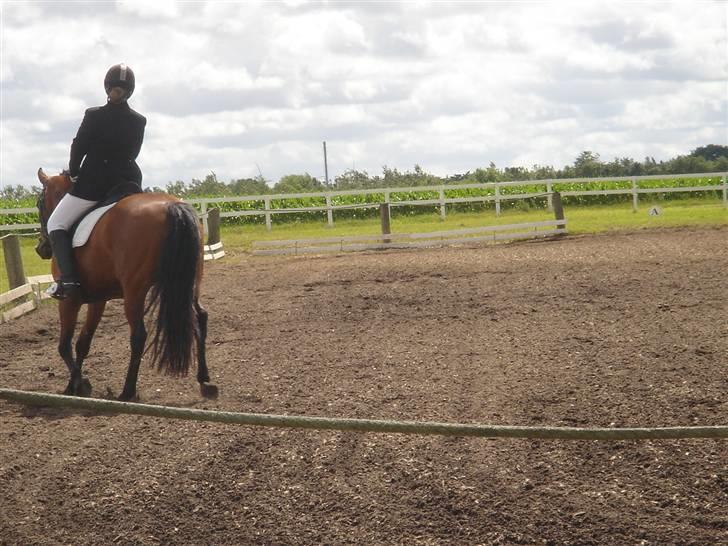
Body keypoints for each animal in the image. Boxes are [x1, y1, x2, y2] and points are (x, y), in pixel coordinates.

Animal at [36, 168, 218, 402]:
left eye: (39, 203)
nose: (41, 248)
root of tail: (172, 206)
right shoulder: (98, 300)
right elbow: (83, 343)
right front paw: (75, 384)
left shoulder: (69, 301)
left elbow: (64, 346)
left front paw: (78, 385)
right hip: (190, 283)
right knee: (199, 317)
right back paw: (204, 378)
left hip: (134, 291)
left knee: (139, 335)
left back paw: (127, 391)